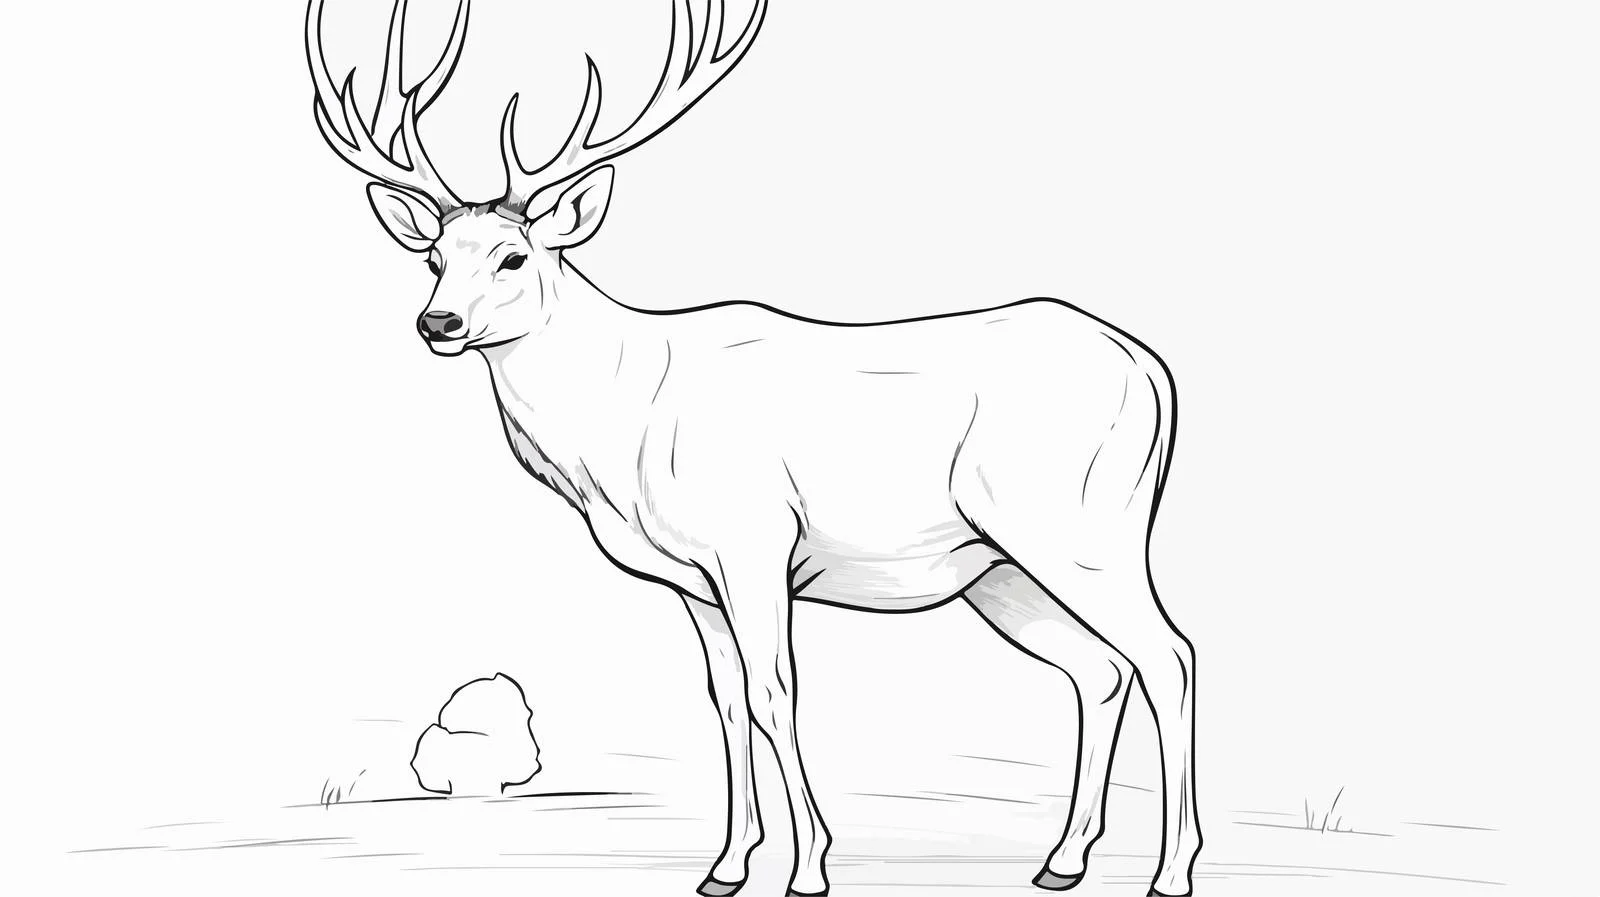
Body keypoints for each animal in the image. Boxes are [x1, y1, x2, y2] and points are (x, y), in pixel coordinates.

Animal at [304, 1, 1202, 895]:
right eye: (432, 257)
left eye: (514, 255)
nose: (437, 322)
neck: (621, 434)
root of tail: (1154, 370)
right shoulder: (692, 577)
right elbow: (727, 699)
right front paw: (727, 865)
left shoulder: (756, 540)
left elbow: (775, 693)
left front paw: (810, 866)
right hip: (1000, 568)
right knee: (1099, 669)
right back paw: (1062, 860)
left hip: (1080, 526)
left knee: (1169, 654)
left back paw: (1172, 868)